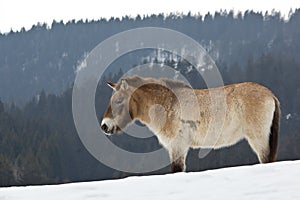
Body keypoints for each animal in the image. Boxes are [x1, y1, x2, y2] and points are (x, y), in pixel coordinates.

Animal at [101, 76, 282, 173]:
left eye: (119, 101)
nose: (104, 126)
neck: (168, 104)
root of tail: (270, 95)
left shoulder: (177, 146)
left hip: (259, 139)